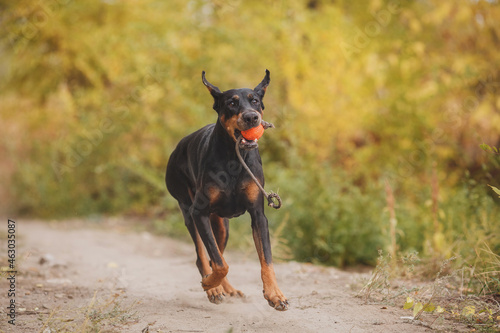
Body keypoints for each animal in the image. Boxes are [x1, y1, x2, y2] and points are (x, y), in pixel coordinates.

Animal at [166, 70, 288, 312]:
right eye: (232, 103)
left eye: (255, 101)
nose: (251, 117)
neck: (234, 158)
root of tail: (179, 146)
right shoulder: (199, 213)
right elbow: (220, 264)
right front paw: (209, 284)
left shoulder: (258, 216)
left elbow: (266, 259)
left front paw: (274, 294)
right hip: (188, 210)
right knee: (204, 256)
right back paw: (212, 286)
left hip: (222, 225)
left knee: (216, 253)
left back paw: (227, 288)